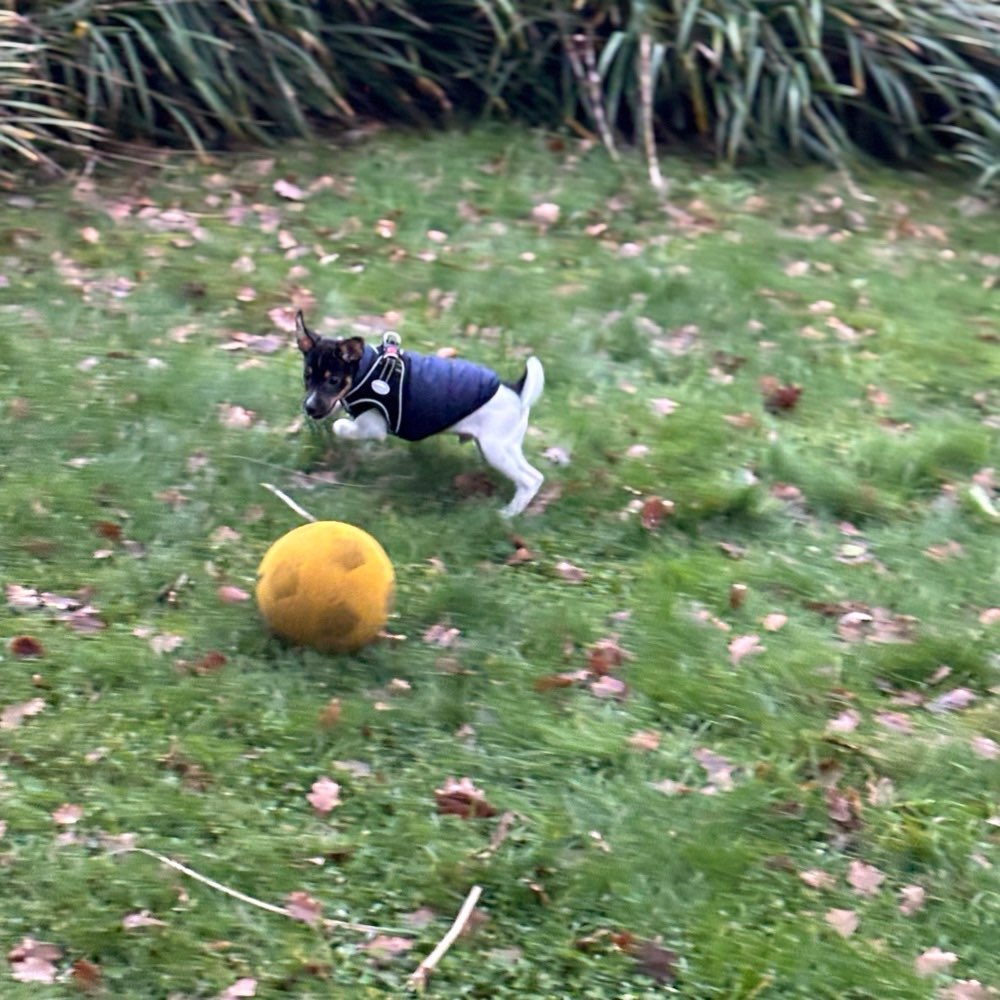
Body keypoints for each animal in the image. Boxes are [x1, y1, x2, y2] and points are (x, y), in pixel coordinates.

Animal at [296, 310, 548, 516]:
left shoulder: (374, 427)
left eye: (333, 380)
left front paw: (341, 426)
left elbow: (342, 426)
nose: (309, 408)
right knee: (535, 476)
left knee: (528, 480)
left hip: (495, 449)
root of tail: (517, 392)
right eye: (307, 377)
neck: (366, 370)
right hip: (505, 447)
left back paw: (507, 515)